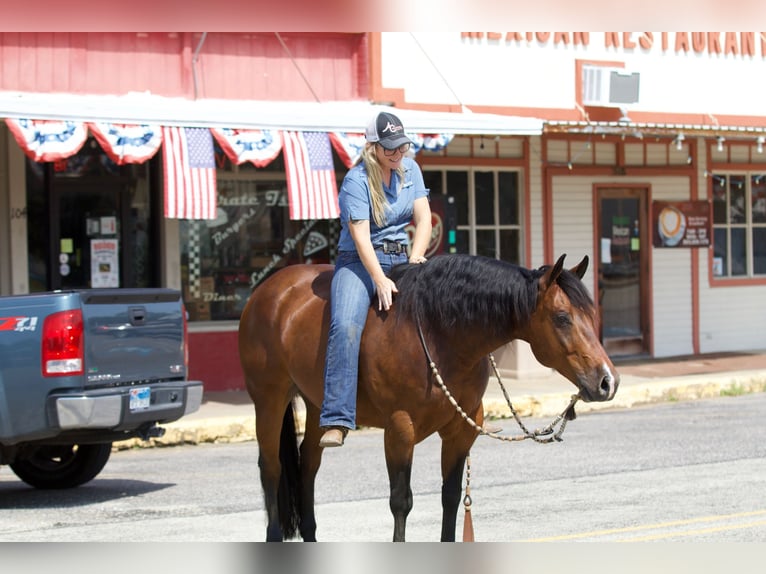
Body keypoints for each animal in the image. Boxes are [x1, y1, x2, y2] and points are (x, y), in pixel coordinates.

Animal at [237, 254, 620, 544]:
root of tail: (267, 292)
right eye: (562, 318)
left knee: (308, 466)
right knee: (271, 468)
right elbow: (401, 501)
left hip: (319, 405)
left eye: (591, 315)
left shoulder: (462, 430)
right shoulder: (399, 431)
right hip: (269, 400)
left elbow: (450, 496)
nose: (607, 381)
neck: (440, 334)